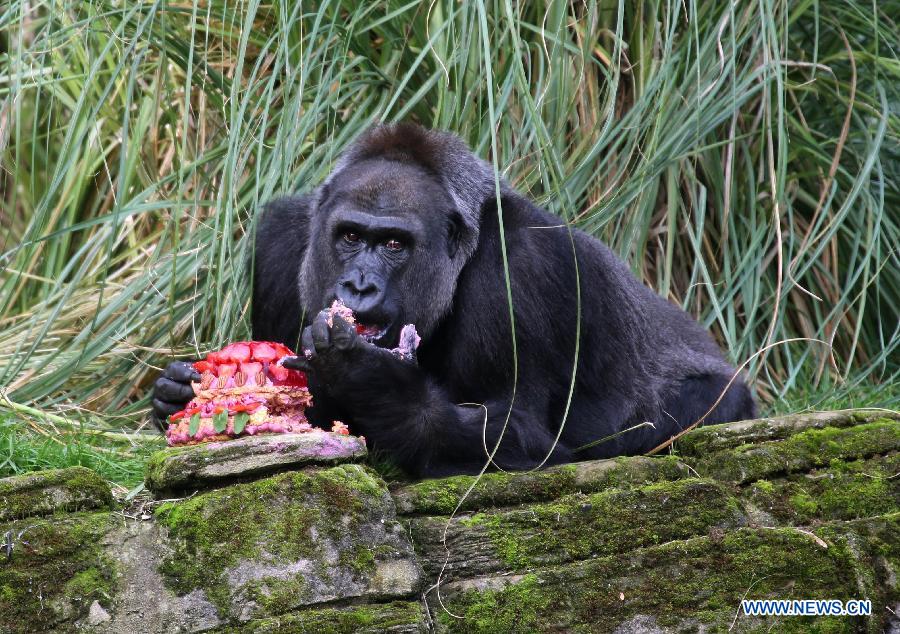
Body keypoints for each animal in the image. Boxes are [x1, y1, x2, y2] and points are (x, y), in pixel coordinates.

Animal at [153, 123, 752, 476]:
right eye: (350, 237)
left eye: (395, 244)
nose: (359, 286)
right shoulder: (281, 240)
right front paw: (173, 395)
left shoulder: (526, 267)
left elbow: (525, 433)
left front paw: (376, 385)